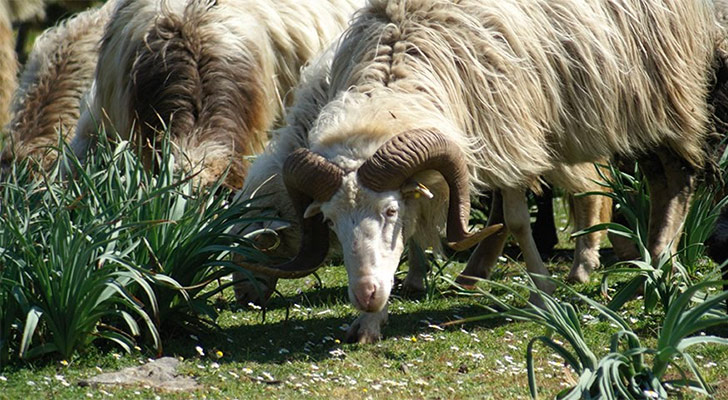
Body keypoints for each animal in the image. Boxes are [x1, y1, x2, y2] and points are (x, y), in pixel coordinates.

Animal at [237, 0, 724, 344]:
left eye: (390, 212)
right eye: (330, 221)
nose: (365, 293)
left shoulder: (510, 135)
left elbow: (515, 220)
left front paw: (542, 293)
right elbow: (429, 234)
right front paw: (371, 319)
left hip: (666, 94)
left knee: (677, 180)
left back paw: (654, 267)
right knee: (655, 180)